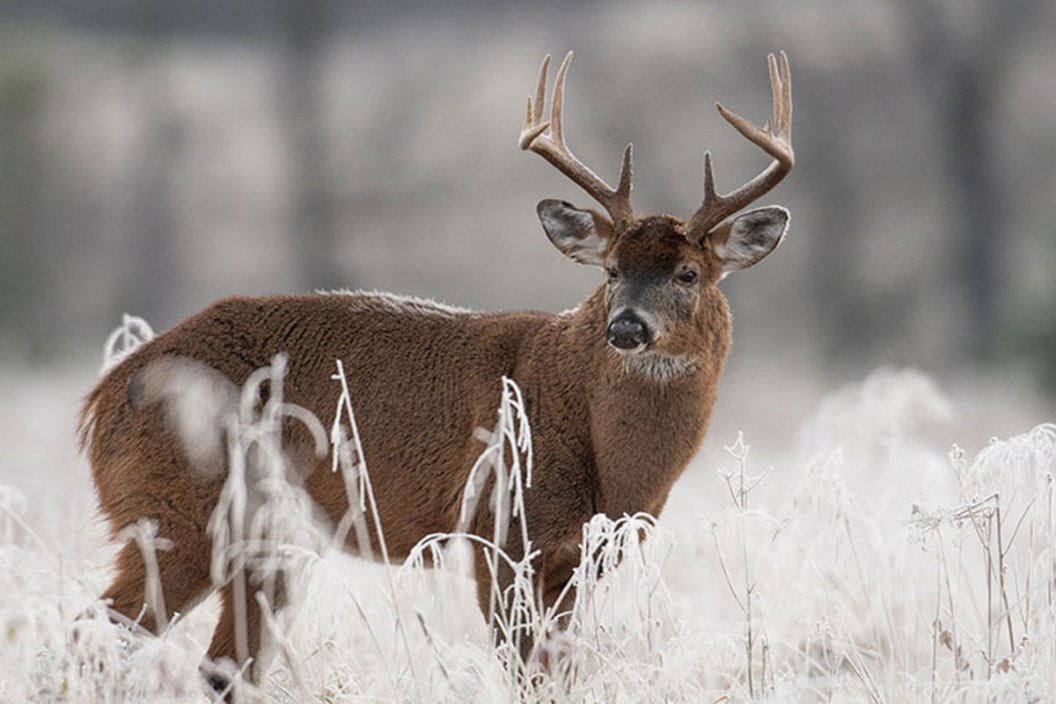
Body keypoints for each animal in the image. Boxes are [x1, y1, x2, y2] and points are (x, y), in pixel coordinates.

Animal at [78, 50, 793, 692]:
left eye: (688, 273)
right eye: (612, 270)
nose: (625, 328)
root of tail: (102, 398)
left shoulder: (582, 556)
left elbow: (562, 671)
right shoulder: (500, 530)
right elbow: (525, 673)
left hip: (258, 538)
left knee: (222, 667)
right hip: (181, 510)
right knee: (100, 630)